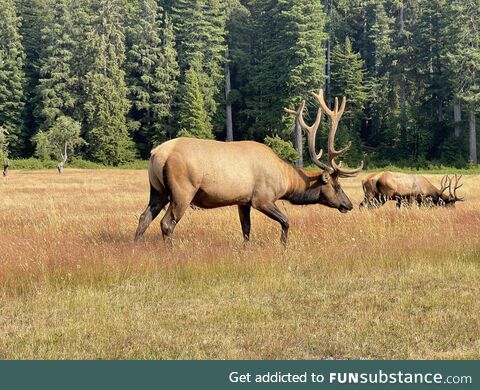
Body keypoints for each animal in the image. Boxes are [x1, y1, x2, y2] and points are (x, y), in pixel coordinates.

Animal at [133, 90, 362, 245]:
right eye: (337, 186)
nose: (349, 204)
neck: (285, 181)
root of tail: (156, 154)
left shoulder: (243, 201)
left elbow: (246, 229)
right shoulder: (263, 198)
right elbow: (286, 221)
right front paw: (283, 247)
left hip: (158, 190)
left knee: (144, 217)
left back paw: (136, 246)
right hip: (182, 191)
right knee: (167, 223)